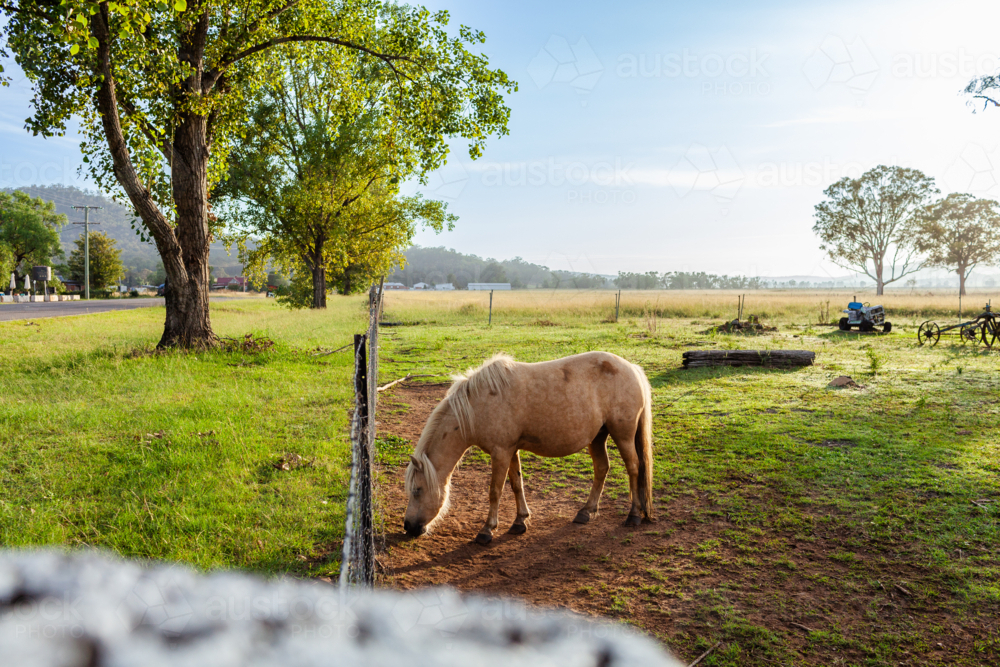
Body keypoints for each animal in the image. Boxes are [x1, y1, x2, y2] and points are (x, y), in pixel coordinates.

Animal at [403, 351, 654, 545]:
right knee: (602, 468)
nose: (408, 526)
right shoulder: (511, 450)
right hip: (598, 437)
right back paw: (585, 512)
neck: (477, 406)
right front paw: (520, 521)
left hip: (623, 434)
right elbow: (517, 484)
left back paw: (633, 515)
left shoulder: (500, 452)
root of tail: (632, 368)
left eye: (417, 490)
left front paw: (487, 531)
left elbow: (495, 491)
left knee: (633, 468)